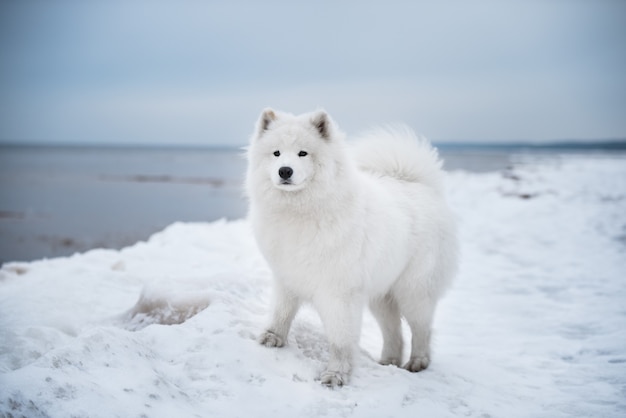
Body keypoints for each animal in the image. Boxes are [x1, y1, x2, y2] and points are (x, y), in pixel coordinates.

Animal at [245, 109, 458, 386]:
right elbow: (281, 312)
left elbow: (340, 340)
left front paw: (336, 375)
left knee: (421, 329)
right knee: (394, 332)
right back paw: (388, 361)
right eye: (276, 153)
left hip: (414, 292)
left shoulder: (339, 293)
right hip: (382, 296)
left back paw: (417, 362)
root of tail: (420, 185)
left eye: (303, 153)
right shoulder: (287, 276)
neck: (301, 212)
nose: (285, 171)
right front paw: (272, 337)